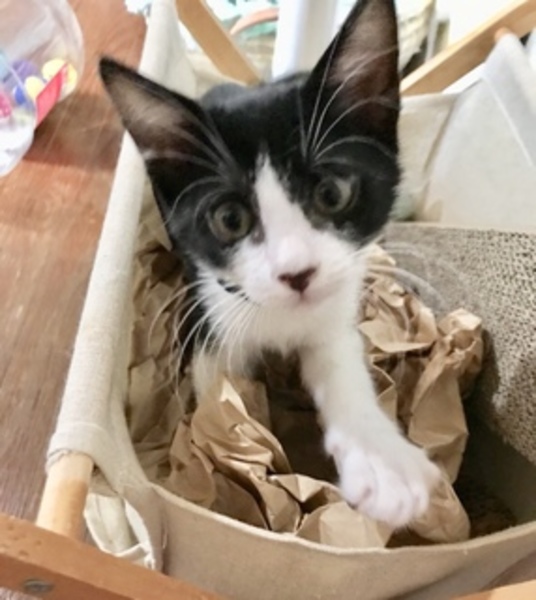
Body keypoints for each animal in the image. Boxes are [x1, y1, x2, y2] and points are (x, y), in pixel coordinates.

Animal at [100, 0, 441, 528]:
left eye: (332, 193)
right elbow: (221, 397)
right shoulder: (209, 314)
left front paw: (382, 461)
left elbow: (339, 360)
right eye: (230, 219)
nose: (296, 273)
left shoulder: (334, 307)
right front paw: (239, 467)